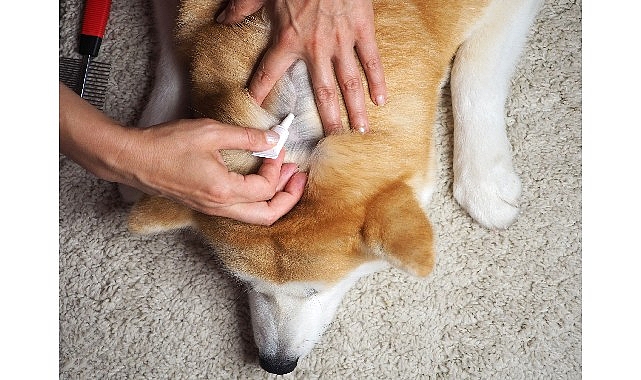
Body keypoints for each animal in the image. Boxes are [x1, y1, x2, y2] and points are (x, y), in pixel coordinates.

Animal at [124, 0, 540, 374]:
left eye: (316, 290)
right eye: (244, 283)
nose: (276, 364)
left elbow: (473, 73)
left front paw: (485, 181)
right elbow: (172, 56)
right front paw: (158, 147)